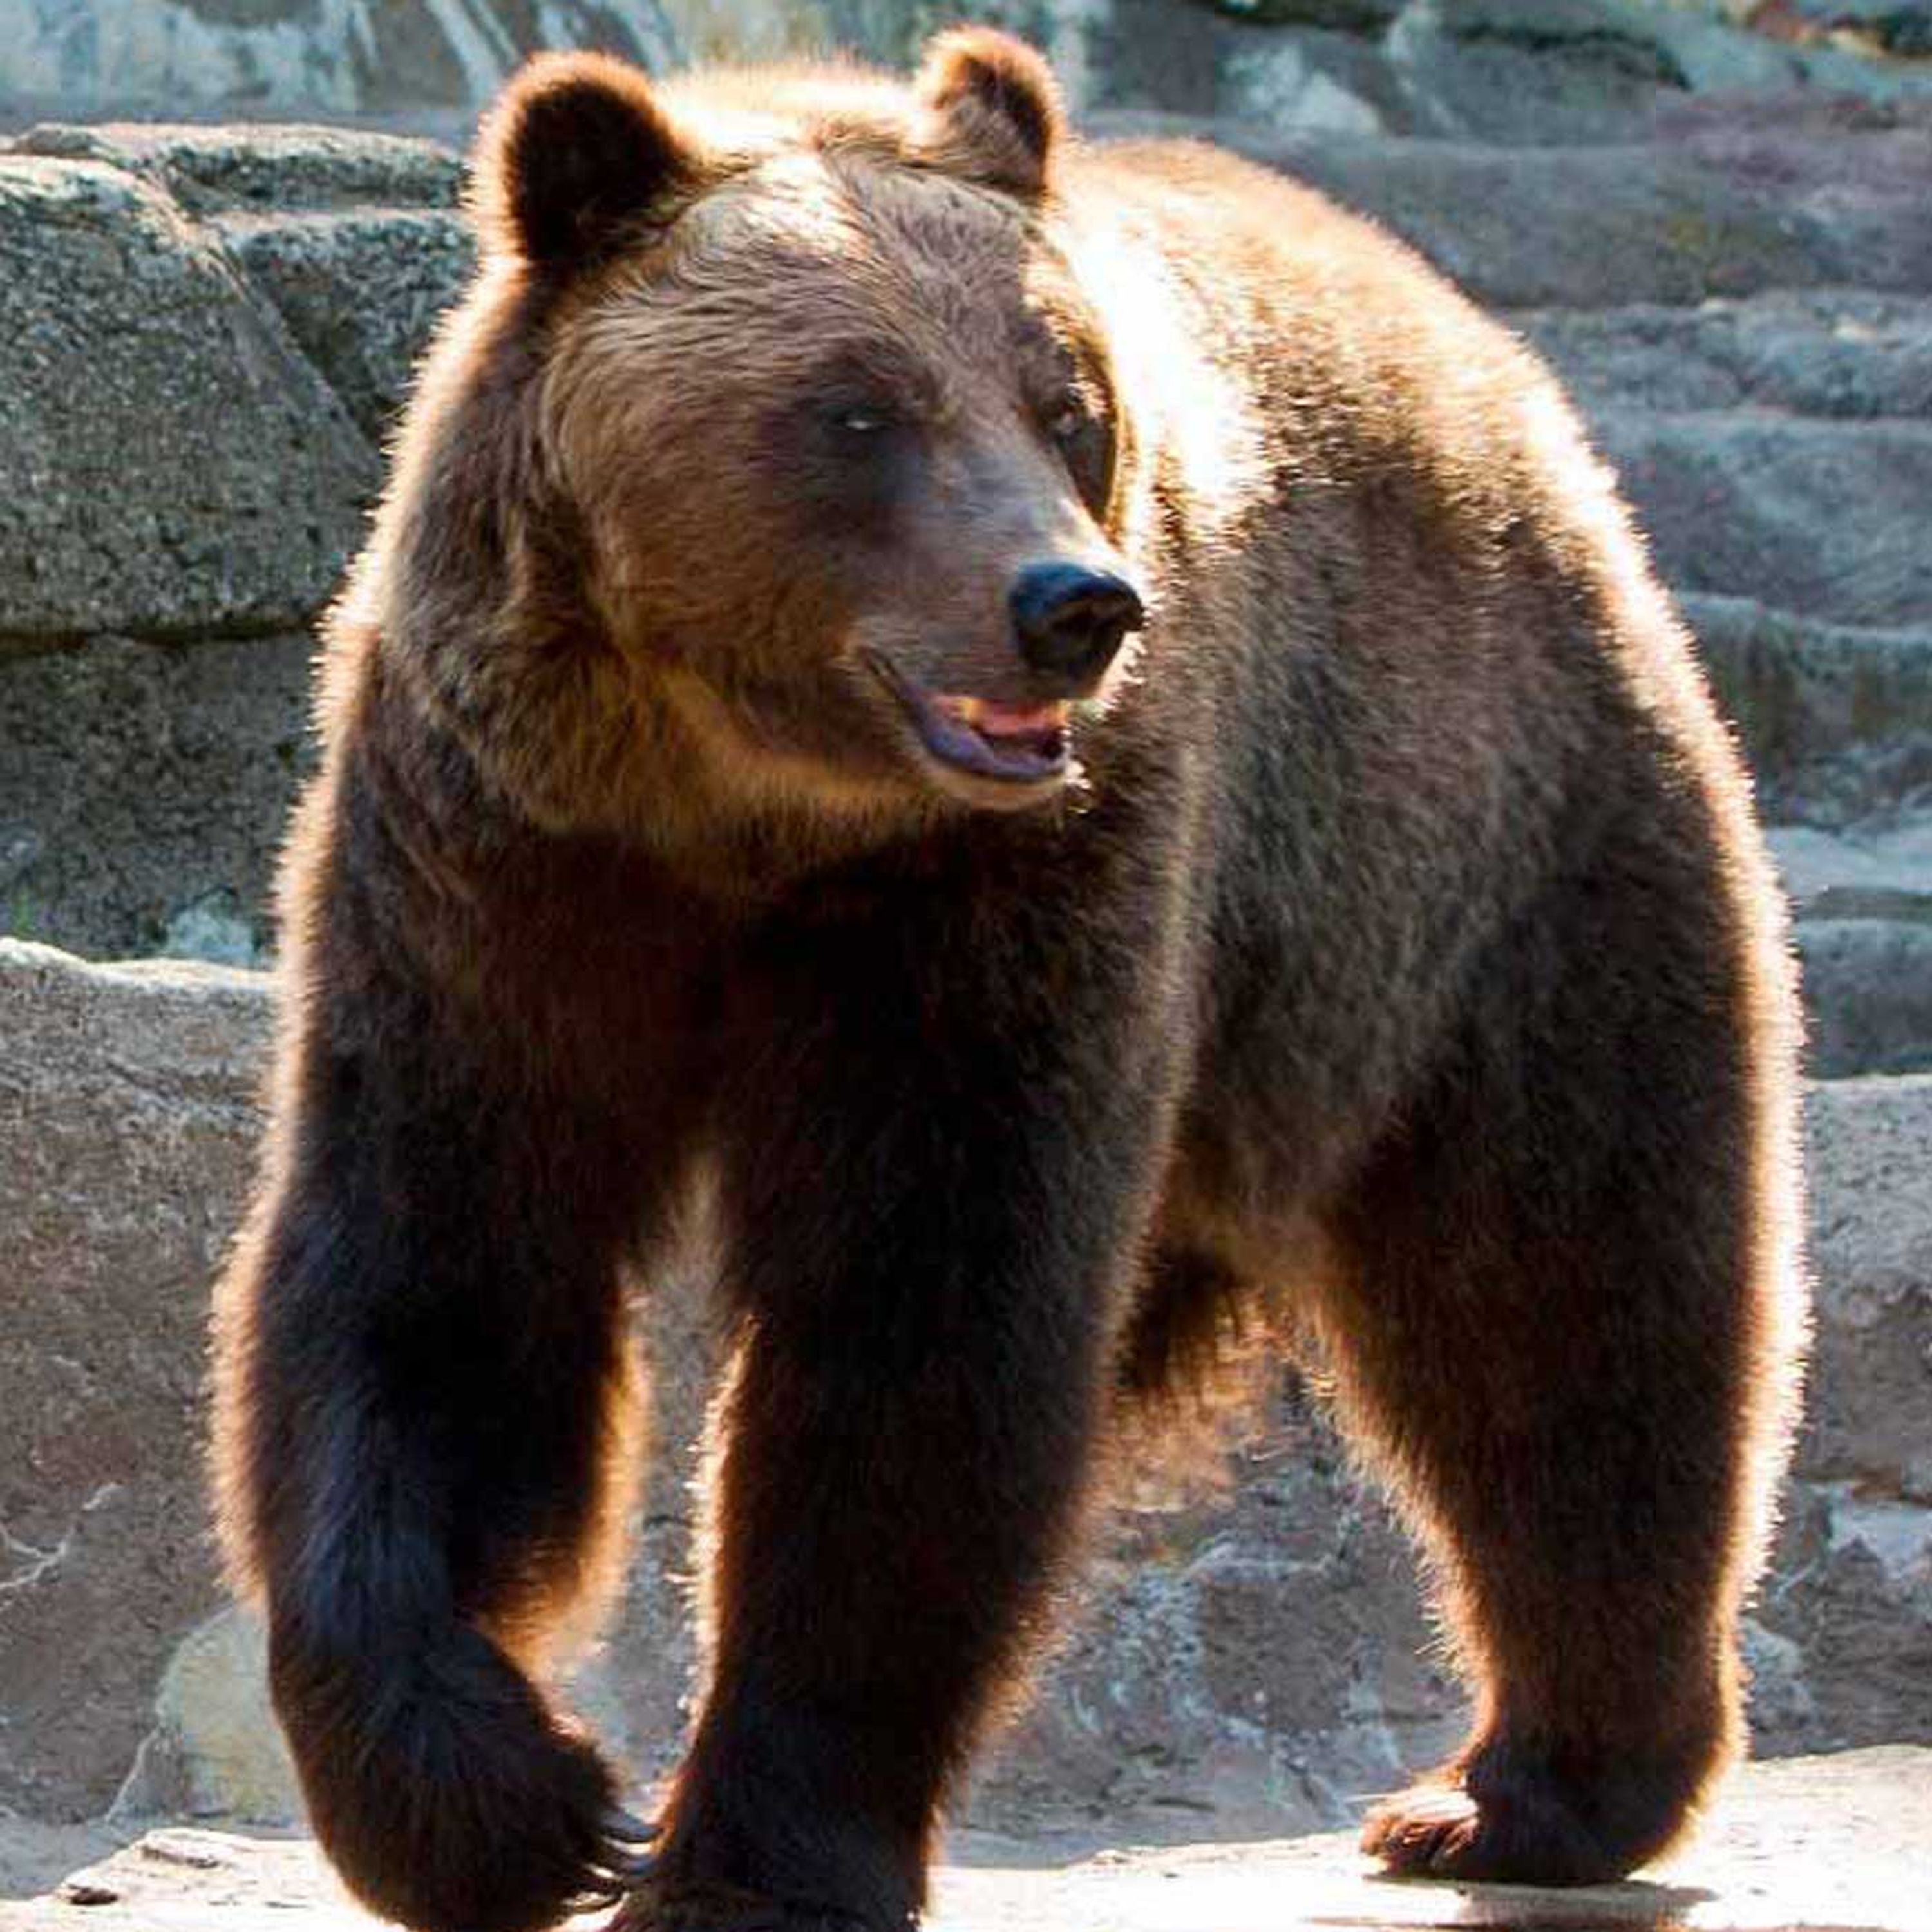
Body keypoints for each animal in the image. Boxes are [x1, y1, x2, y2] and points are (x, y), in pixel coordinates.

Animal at [210, 27, 1808, 1932]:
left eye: (1065, 405)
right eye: (854, 411)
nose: (1072, 604)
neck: (742, 804)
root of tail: (1488, 366)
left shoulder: (1006, 895)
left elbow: (922, 1321)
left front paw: (748, 1852)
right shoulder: (503, 858)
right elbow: (439, 1267)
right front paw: (501, 1798)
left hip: (1472, 864)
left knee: (1565, 1310)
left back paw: (1523, 1790)